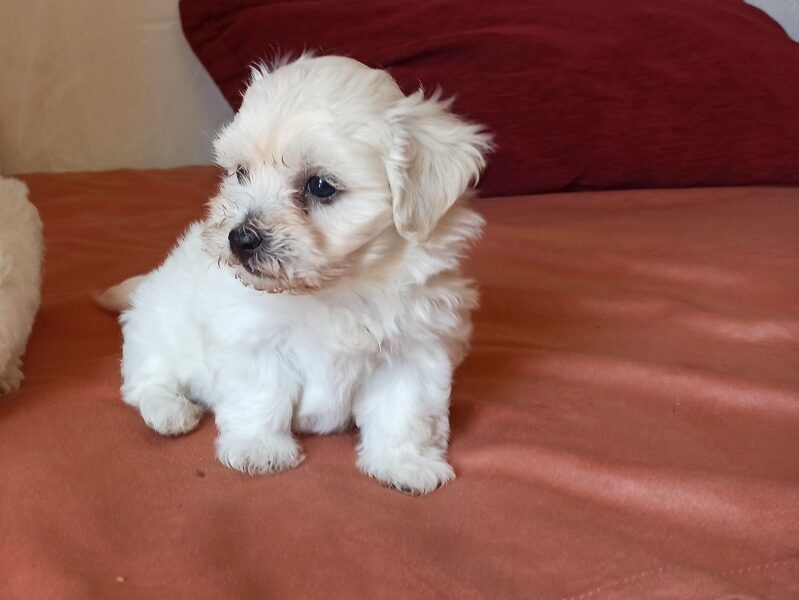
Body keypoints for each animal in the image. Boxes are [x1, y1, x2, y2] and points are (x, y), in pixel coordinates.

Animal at [109, 56, 490, 494]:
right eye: (241, 173)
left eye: (320, 185)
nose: (240, 238)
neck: (337, 288)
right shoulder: (250, 338)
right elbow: (261, 395)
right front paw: (259, 449)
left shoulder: (415, 349)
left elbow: (403, 410)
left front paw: (403, 463)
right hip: (153, 331)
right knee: (144, 382)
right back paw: (170, 411)